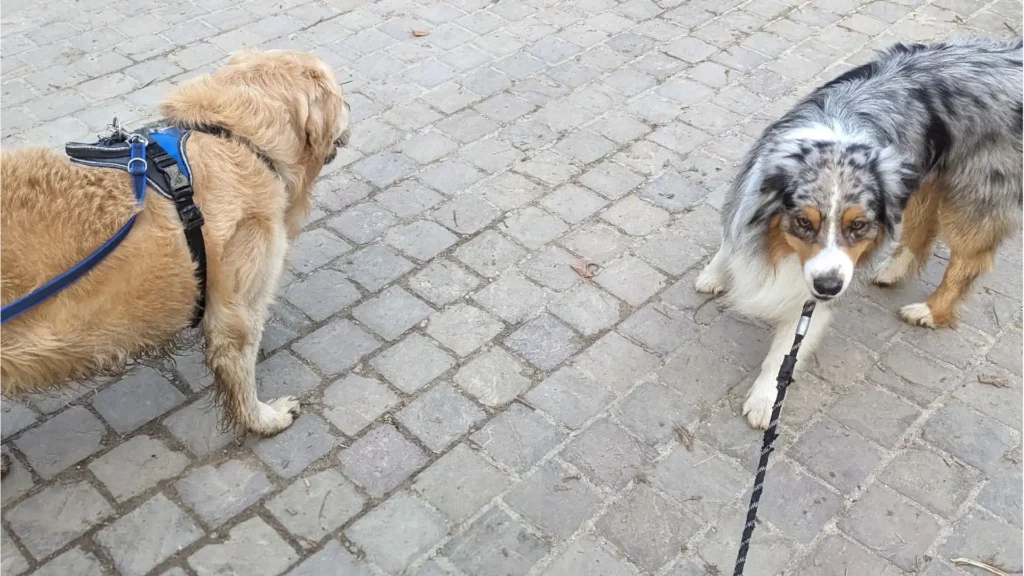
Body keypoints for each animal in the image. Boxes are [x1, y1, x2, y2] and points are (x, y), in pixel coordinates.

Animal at [0, 50, 352, 444]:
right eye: (340, 94)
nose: (352, 106)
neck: (236, 137)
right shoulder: (236, 312)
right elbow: (241, 374)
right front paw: (264, 419)